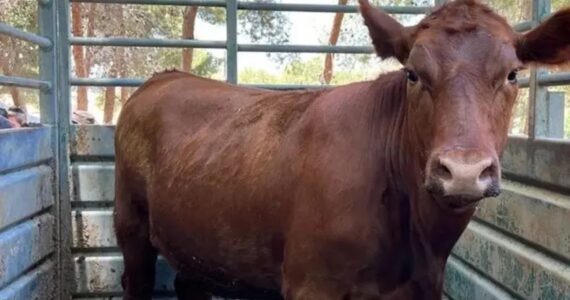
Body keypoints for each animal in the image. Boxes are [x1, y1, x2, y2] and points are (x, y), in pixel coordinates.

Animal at [113, 1, 568, 298]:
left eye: (512, 74)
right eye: (412, 74)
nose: (463, 170)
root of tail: (166, 75)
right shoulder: (312, 283)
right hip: (130, 225)